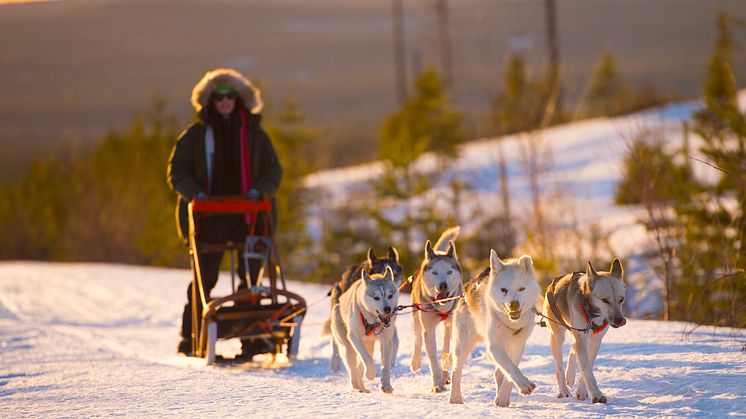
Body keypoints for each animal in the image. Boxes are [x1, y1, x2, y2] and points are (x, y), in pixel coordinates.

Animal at [332, 266, 402, 394]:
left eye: (390, 295)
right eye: (376, 297)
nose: (388, 309)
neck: (373, 321)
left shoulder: (386, 340)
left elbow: (386, 364)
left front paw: (386, 385)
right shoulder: (354, 337)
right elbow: (368, 360)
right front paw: (370, 374)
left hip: (369, 346)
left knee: (359, 366)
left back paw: (362, 388)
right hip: (348, 348)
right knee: (353, 368)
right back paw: (356, 386)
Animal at [406, 226, 460, 394]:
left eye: (449, 272)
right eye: (435, 272)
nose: (443, 285)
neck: (441, 306)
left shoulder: (453, 325)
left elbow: (448, 352)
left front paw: (445, 369)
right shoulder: (428, 330)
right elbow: (432, 360)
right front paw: (437, 385)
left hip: (447, 327)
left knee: (446, 342)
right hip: (415, 319)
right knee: (417, 339)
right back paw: (415, 362)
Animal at [448, 251, 536, 408]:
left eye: (522, 289)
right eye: (504, 290)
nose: (514, 304)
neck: (510, 323)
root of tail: (466, 288)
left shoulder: (518, 344)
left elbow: (511, 369)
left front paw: (503, 398)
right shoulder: (494, 346)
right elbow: (511, 368)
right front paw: (524, 385)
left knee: (498, 373)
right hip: (462, 345)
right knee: (455, 371)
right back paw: (455, 398)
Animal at [540, 260, 628, 404]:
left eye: (621, 299)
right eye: (605, 300)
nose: (620, 320)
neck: (592, 314)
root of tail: (554, 283)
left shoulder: (595, 341)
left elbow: (587, 367)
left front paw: (582, 391)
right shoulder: (581, 338)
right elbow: (587, 370)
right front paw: (597, 395)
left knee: (573, 348)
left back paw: (570, 377)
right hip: (557, 336)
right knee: (559, 368)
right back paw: (564, 390)